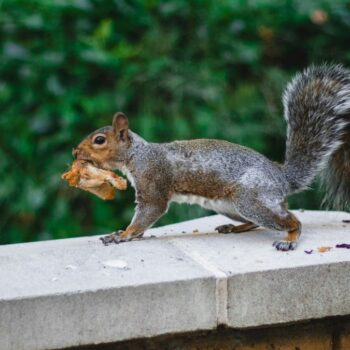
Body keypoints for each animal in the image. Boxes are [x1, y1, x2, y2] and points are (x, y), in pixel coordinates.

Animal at [72, 65, 350, 252]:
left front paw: (123, 235)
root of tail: (281, 176)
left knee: (290, 220)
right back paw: (235, 228)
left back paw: (289, 238)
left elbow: (149, 212)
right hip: (230, 206)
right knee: (257, 222)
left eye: (99, 140)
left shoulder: (153, 181)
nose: (75, 153)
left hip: (250, 199)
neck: (138, 155)